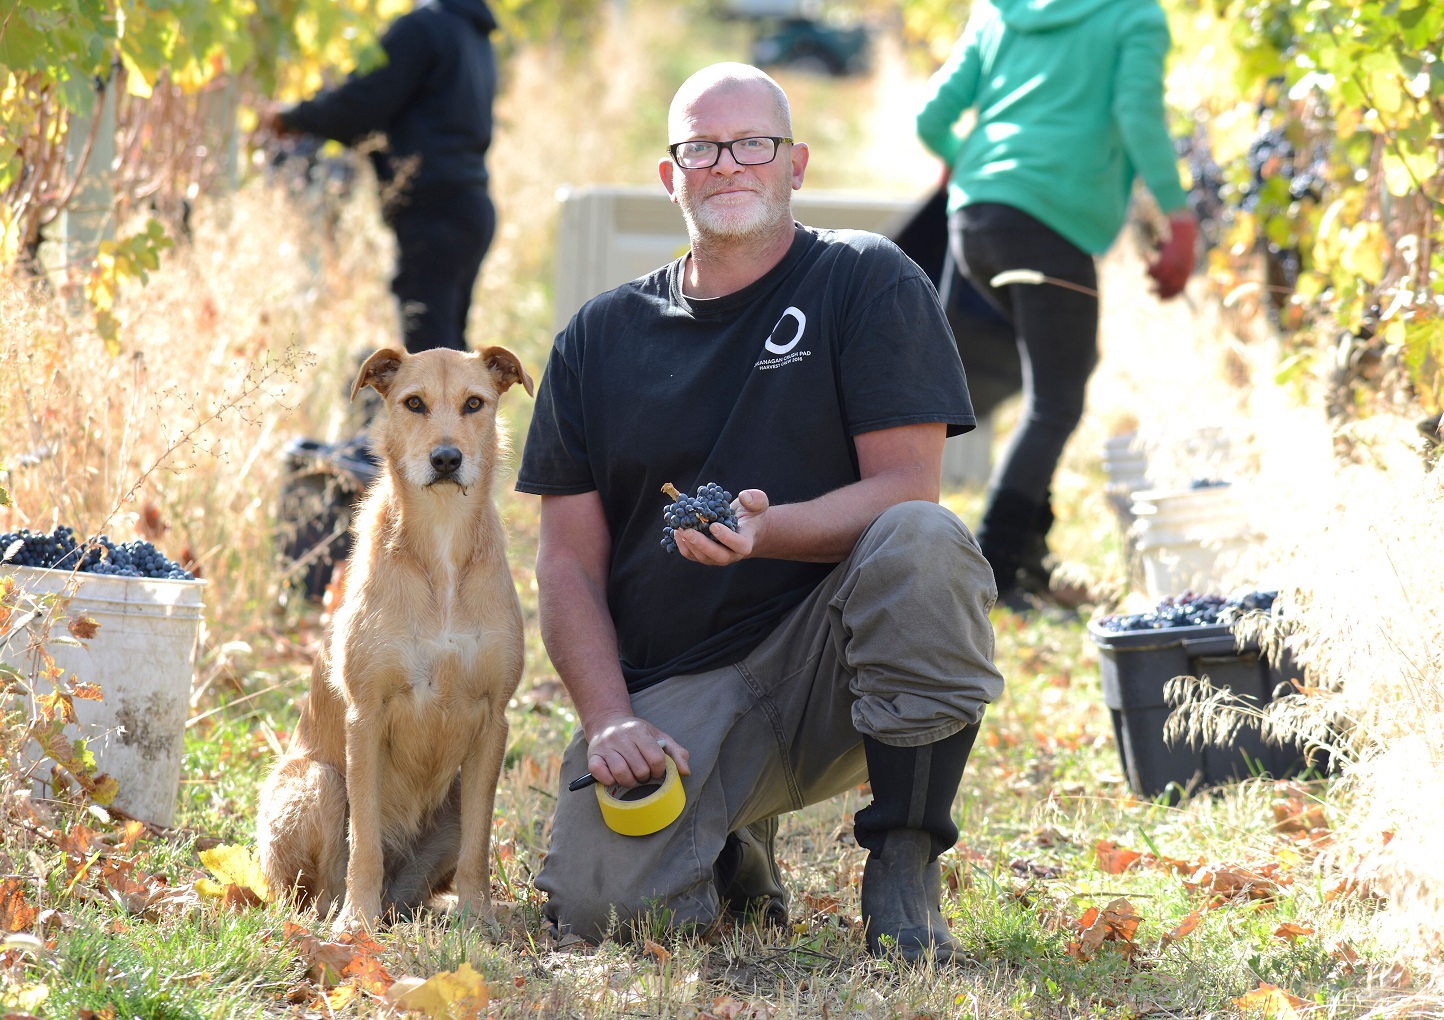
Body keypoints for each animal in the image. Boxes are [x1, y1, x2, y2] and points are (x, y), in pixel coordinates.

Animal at [257, 345, 534, 924]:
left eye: (474, 403)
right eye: (414, 403)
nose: (446, 458)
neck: (442, 543)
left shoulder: (494, 719)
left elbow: (479, 844)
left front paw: (479, 920)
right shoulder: (366, 717)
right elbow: (363, 840)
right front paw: (355, 924)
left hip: (449, 806)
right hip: (317, 783)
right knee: (315, 892)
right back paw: (340, 916)